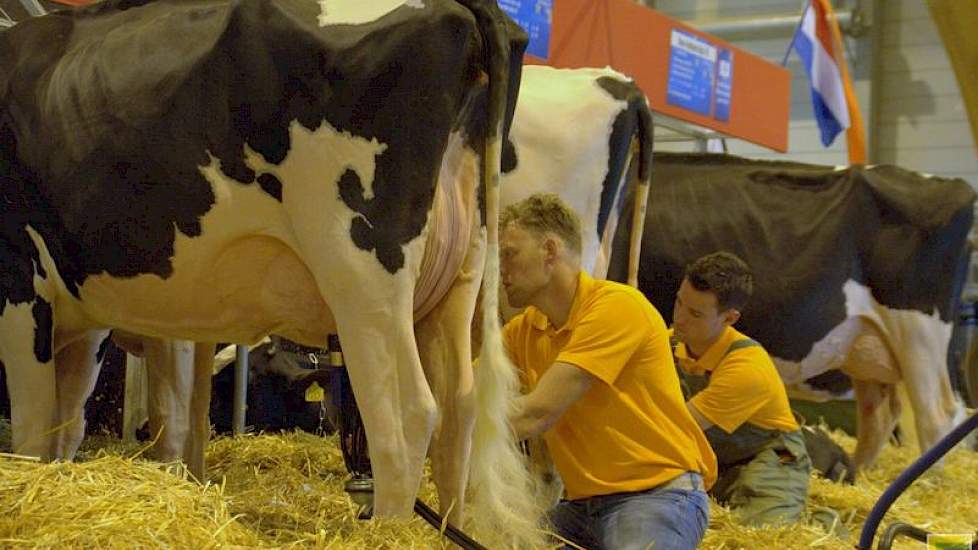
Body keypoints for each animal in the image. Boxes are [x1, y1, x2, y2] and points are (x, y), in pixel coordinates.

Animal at [0, 0, 540, 544]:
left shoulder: (21, 286)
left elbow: (32, 429)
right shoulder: (84, 311)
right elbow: (67, 424)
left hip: (362, 278)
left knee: (406, 415)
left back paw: (386, 532)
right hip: (458, 277)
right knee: (458, 412)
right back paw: (445, 528)